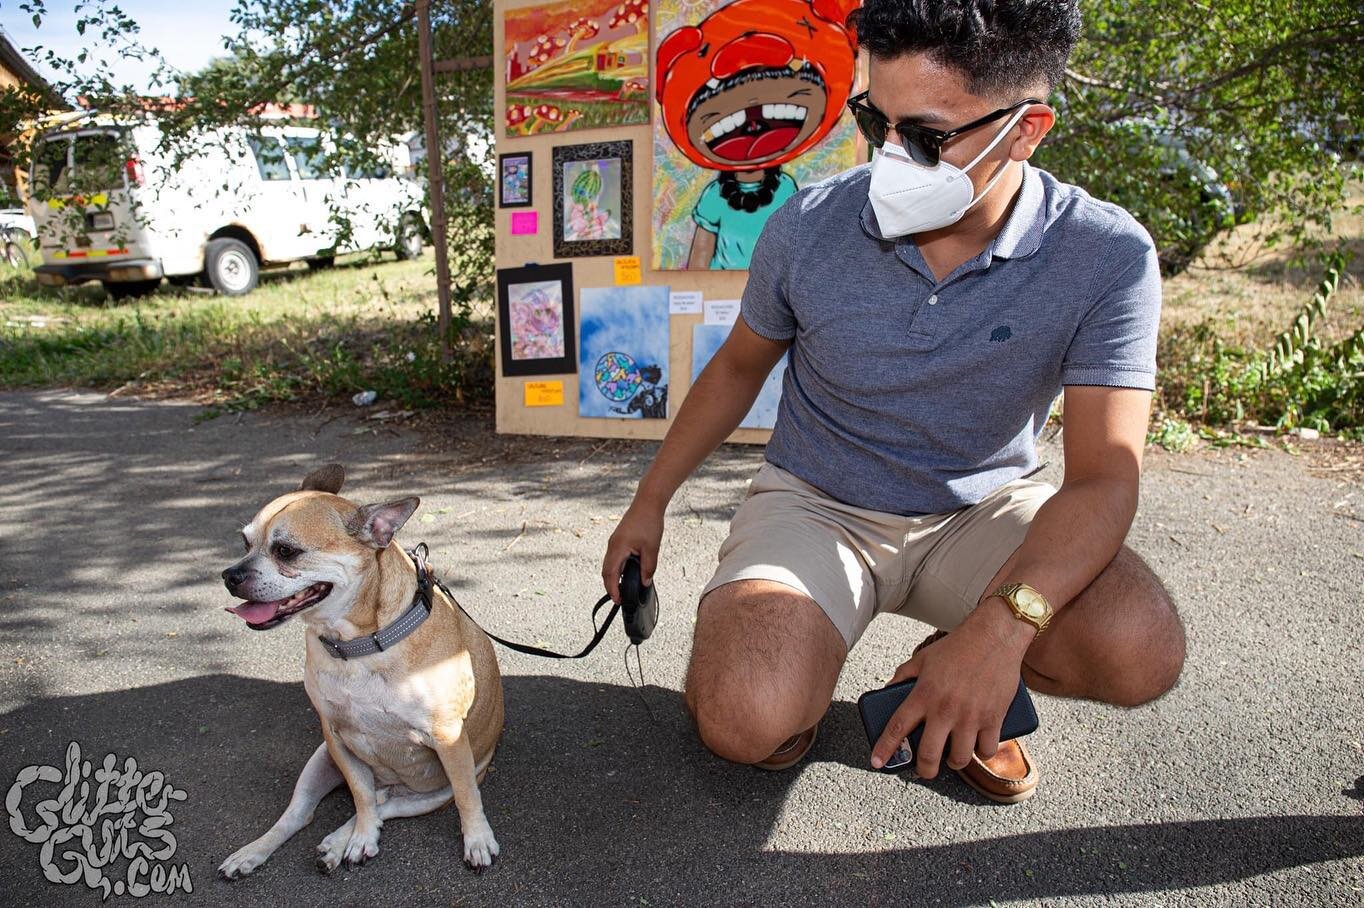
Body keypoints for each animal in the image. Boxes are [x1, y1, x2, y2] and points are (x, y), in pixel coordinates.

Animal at [215, 463, 504, 872]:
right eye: (244, 543)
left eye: (286, 551)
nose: (230, 575)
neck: (358, 646)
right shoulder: (338, 738)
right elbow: (361, 797)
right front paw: (362, 837)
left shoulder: (449, 741)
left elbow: (467, 799)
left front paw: (477, 840)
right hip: (320, 761)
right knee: (309, 812)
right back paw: (261, 851)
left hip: (432, 791)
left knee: (391, 805)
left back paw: (338, 839)